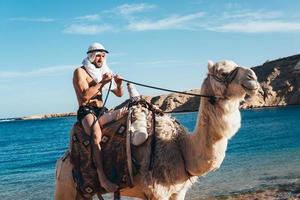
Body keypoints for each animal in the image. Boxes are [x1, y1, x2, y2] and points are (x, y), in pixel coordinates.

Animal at [55, 59, 262, 200]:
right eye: (222, 72)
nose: (252, 77)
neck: (182, 149)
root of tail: (61, 161)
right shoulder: (157, 191)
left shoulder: (178, 192)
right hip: (66, 186)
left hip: (83, 192)